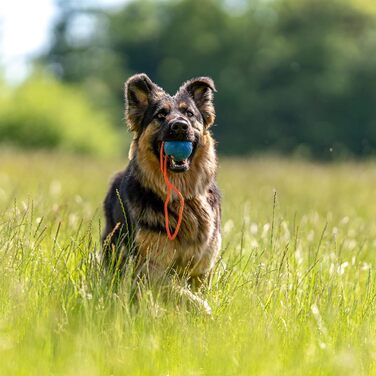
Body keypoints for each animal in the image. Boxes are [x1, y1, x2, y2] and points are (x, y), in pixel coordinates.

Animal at [101, 73, 222, 312]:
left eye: (189, 114)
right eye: (160, 115)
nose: (180, 127)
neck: (182, 195)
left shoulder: (202, 270)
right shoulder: (150, 268)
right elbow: (179, 290)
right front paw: (203, 309)